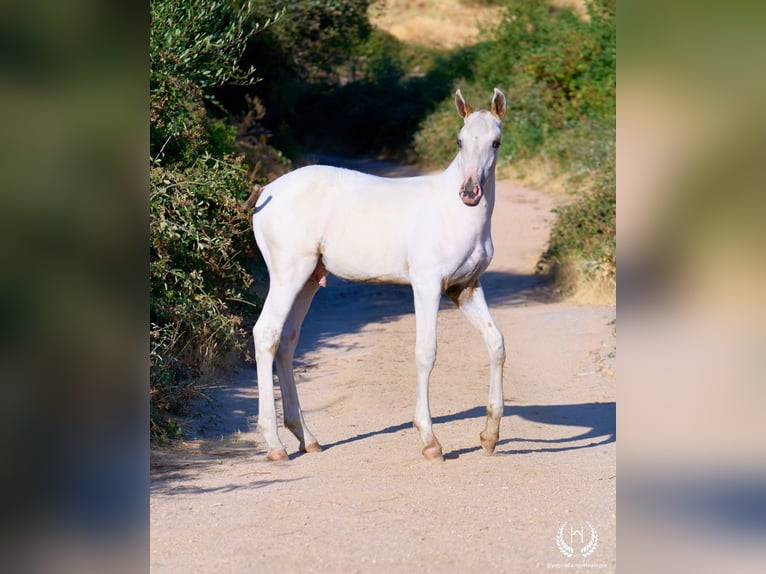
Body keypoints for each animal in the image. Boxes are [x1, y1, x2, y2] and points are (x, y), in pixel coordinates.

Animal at [250, 88, 507, 461]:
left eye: (495, 143)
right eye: (459, 141)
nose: (470, 192)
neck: (455, 214)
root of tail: (266, 192)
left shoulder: (465, 288)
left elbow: (496, 344)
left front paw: (489, 436)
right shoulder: (427, 285)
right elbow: (426, 352)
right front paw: (430, 441)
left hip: (309, 280)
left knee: (286, 341)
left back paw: (307, 437)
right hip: (287, 275)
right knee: (266, 334)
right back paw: (274, 444)